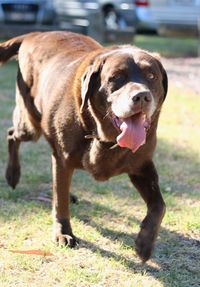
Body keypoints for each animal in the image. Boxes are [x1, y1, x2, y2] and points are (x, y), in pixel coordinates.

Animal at [0, 31, 167, 264]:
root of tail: (36, 34)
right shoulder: (62, 159)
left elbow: (159, 205)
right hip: (30, 125)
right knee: (12, 135)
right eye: (116, 77)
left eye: (151, 76)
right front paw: (63, 232)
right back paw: (12, 174)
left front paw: (145, 243)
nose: (142, 96)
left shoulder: (141, 166)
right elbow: (60, 203)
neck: (104, 136)